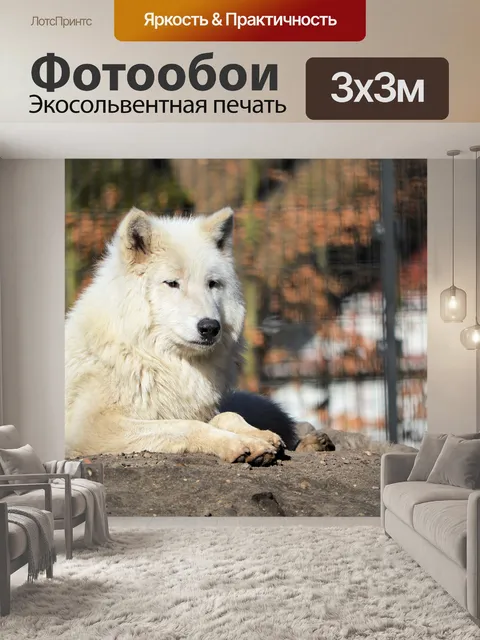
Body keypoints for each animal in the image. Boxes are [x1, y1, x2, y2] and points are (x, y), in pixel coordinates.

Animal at [65, 207, 299, 465]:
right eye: (172, 283)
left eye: (212, 284)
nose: (210, 327)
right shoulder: (90, 427)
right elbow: (187, 425)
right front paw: (237, 443)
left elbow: (227, 415)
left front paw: (259, 435)